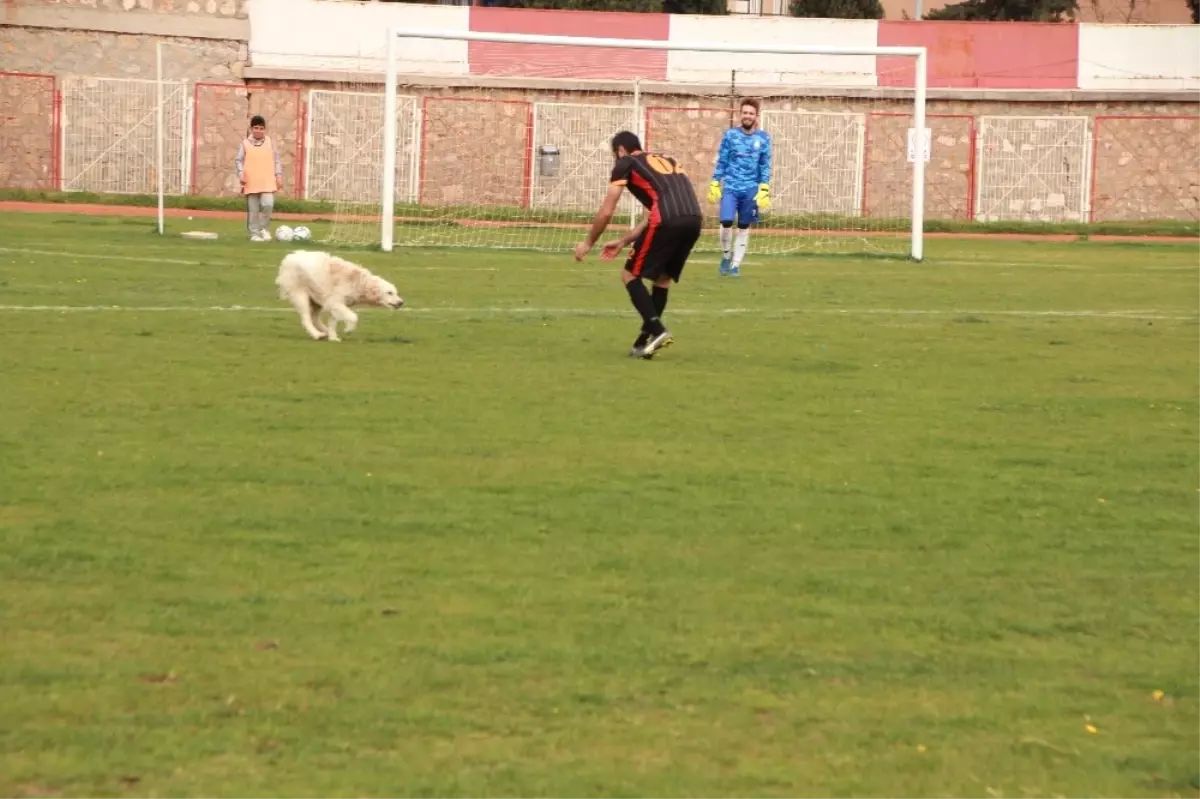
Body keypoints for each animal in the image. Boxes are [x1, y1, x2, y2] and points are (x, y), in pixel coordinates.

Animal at [274, 250, 405, 340]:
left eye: (396, 293)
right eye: (389, 293)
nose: (401, 302)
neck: (360, 282)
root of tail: (289, 257)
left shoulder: (336, 304)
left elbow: (333, 321)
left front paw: (333, 337)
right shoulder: (336, 302)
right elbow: (353, 317)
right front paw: (348, 329)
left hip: (317, 299)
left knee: (314, 318)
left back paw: (325, 332)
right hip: (301, 296)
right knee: (306, 319)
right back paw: (317, 335)